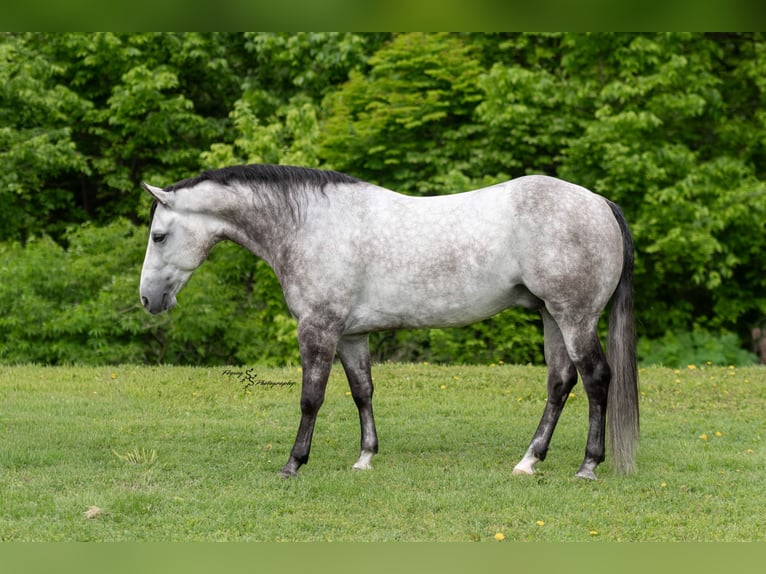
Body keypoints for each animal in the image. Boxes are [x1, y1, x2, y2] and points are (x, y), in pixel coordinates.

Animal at [139, 164, 638, 480]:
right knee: (559, 383)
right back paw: (529, 461)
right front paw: (365, 458)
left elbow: (310, 398)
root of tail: (599, 202)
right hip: (552, 317)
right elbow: (362, 391)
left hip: (574, 317)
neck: (311, 226)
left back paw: (588, 465)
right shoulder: (351, 336)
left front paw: (293, 464)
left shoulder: (318, 329)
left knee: (596, 379)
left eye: (158, 235)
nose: (148, 298)